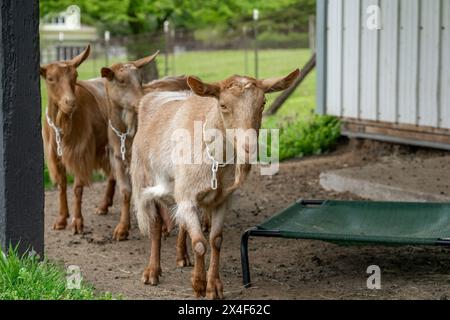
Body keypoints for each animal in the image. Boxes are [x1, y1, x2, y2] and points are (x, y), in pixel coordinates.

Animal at [40, 45, 116, 232]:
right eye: (50, 79)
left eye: (75, 76)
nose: (70, 102)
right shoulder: (55, 155)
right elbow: (61, 186)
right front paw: (61, 219)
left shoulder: (80, 152)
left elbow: (77, 188)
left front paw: (77, 222)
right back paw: (104, 206)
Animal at [130, 69, 298, 298]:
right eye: (223, 105)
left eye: (263, 102)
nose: (249, 146)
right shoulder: (187, 198)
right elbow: (200, 243)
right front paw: (198, 284)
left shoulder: (221, 200)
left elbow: (215, 240)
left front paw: (214, 286)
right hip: (146, 180)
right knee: (156, 226)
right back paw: (152, 272)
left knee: (181, 223)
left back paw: (182, 257)